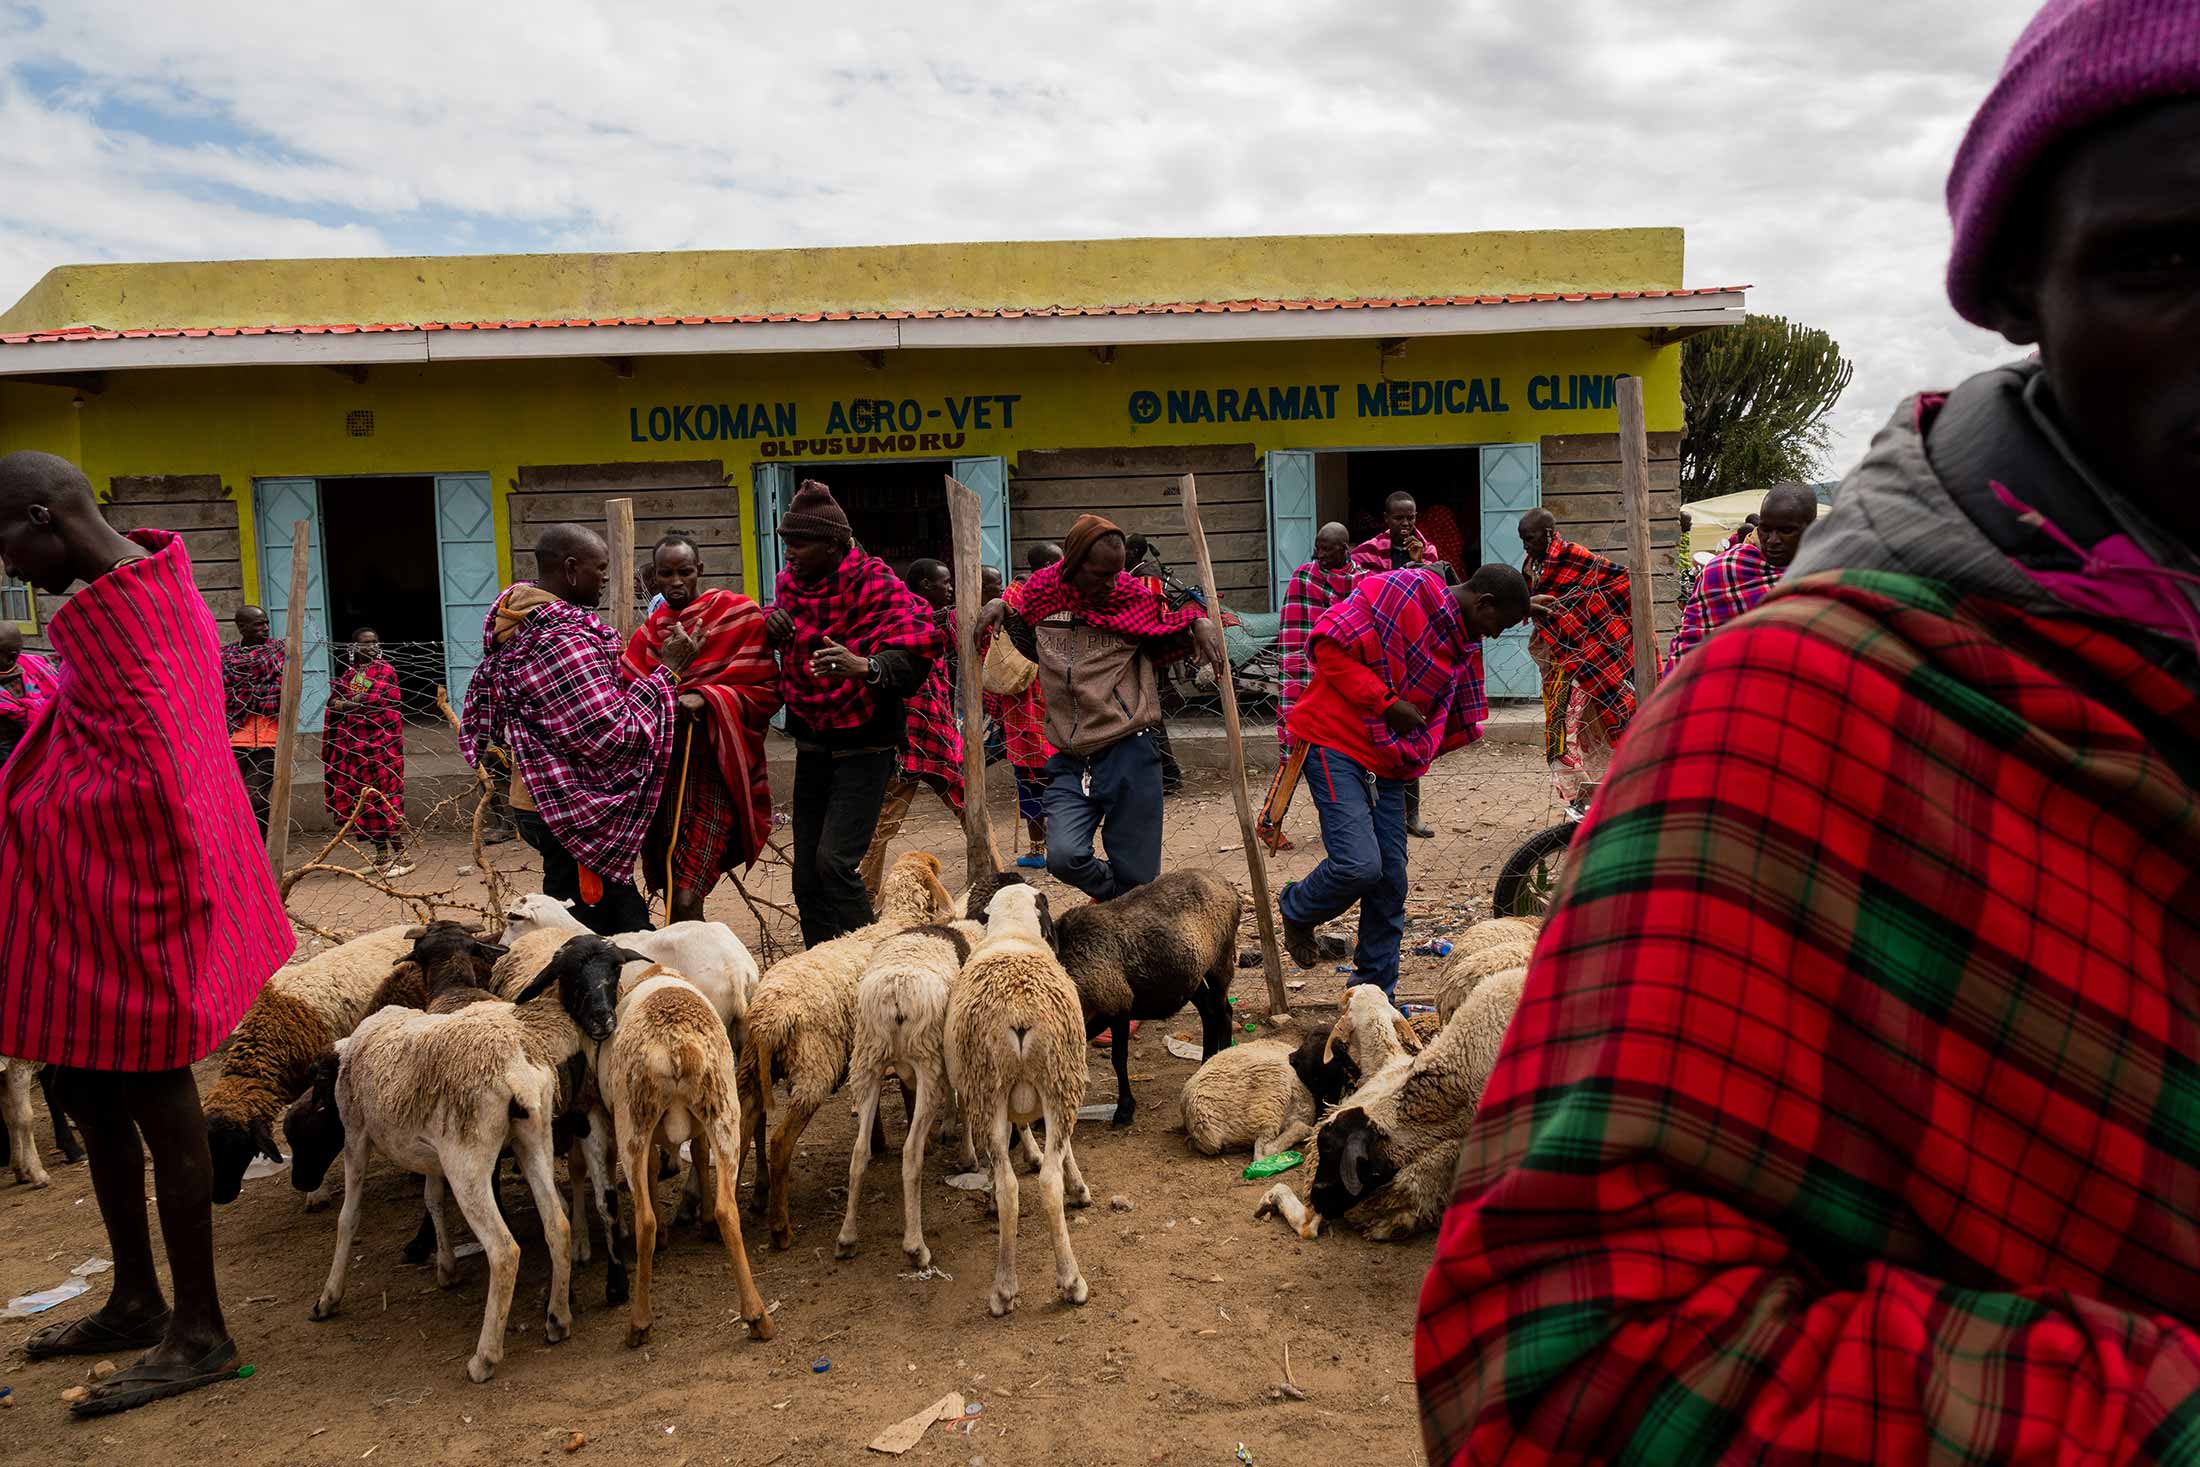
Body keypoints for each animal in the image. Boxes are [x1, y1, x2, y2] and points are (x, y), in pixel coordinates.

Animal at [739, 853, 954, 1258]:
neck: (900, 920)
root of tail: (770, 1017)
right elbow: (910, 1097)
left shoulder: (867, 1052)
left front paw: (879, 1140)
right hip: (814, 1066)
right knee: (780, 1142)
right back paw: (780, 1229)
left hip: (752, 1069)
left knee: (743, 1129)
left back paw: (736, 1207)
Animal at [836, 923, 985, 1266]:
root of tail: (897, 994)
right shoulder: (958, 1048)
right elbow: (964, 1102)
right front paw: (967, 1157)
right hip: (925, 1057)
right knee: (910, 1152)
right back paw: (916, 1246)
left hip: (867, 1059)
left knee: (859, 1151)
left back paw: (847, 1238)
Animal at [946, 884, 1091, 1319]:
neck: (1012, 931)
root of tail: (1019, 1014)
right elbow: (1063, 1149)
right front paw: (1080, 1188)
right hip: (1057, 1077)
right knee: (1049, 1180)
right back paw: (1072, 1282)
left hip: (989, 1088)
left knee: (1011, 1186)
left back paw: (1004, 1290)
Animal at [1047, 866, 1240, 1134]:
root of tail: (1225, 883)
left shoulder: (1117, 1005)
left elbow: (1118, 1059)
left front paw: (1124, 1110)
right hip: (1189, 974)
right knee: (1211, 1012)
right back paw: (1205, 1062)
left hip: (1220, 960)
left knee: (1222, 1012)